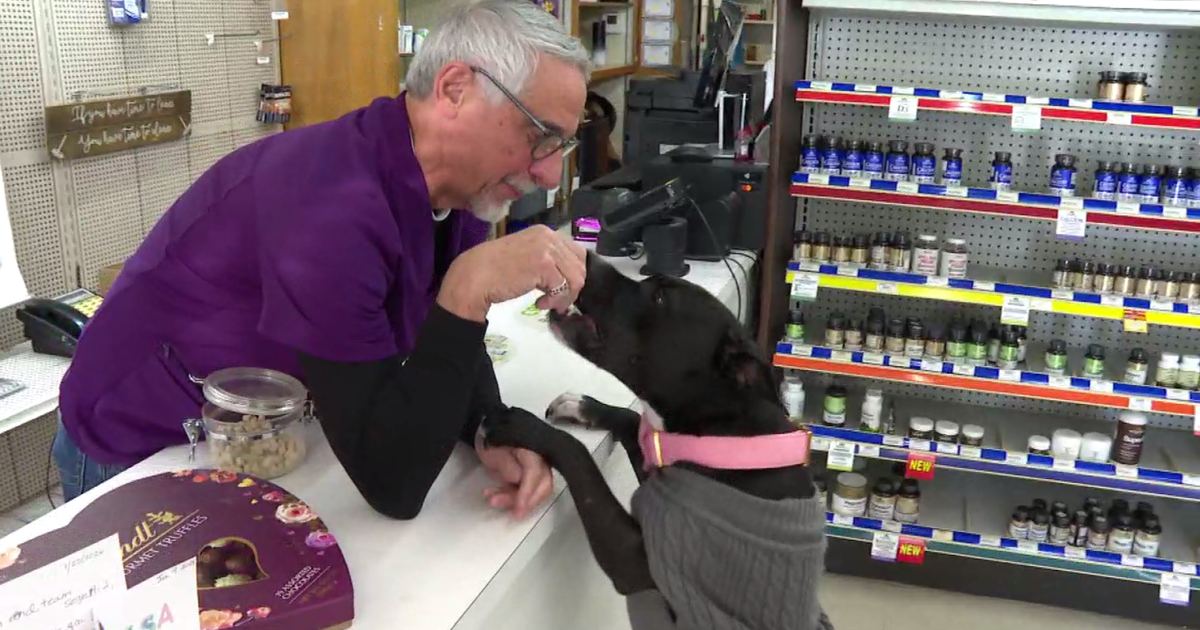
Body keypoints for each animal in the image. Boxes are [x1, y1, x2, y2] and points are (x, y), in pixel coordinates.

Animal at [482, 252, 830, 628]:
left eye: (660, 297)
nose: (586, 255)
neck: (722, 432)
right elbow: (633, 419)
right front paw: (583, 406)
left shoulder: (635, 560)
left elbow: (579, 456)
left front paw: (523, 426)